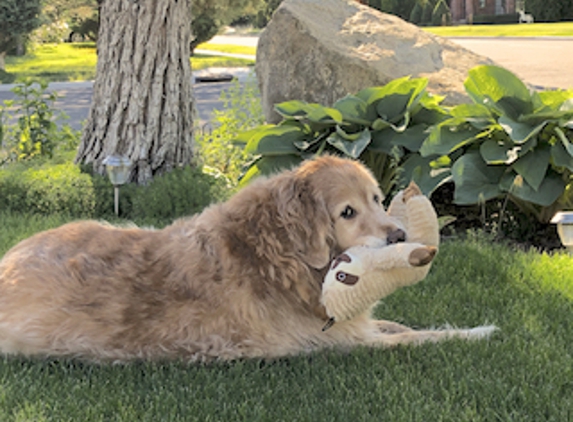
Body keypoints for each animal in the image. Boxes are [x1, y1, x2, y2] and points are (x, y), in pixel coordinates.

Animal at [0, 157, 494, 362]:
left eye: (376, 198)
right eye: (347, 213)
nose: (400, 236)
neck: (279, 253)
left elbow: (401, 326)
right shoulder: (335, 343)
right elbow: (419, 337)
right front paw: (479, 332)